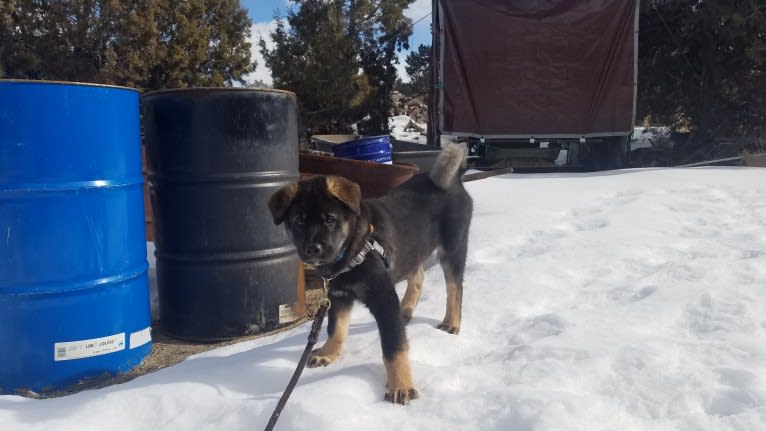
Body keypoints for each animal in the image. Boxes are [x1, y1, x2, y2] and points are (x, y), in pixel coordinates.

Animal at [270, 145, 474, 404]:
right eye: (299, 221)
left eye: (330, 219)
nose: (313, 249)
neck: (350, 251)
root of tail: (455, 180)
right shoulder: (338, 295)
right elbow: (336, 328)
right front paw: (328, 353)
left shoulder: (382, 297)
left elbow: (393, 346)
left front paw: (401, 386)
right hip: (414, 246)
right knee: (418, 276)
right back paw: (405, 311)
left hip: (452, 247)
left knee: (455, 288)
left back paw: (451, 323)